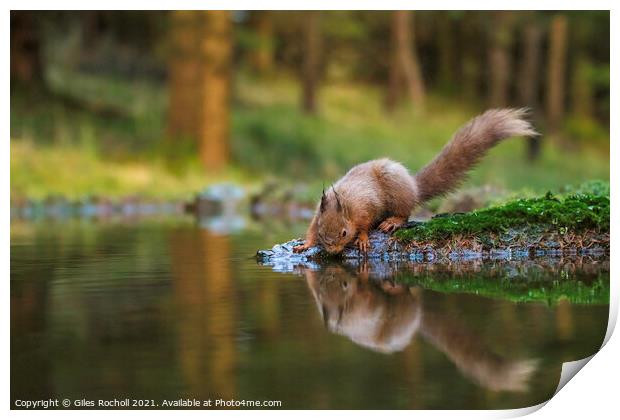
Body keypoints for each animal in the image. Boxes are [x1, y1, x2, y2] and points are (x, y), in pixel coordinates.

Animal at [294, 106, 536, 254]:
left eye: (344, 233)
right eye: (322, 233)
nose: (333, 251)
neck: (345, 205)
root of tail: (413, 187)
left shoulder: (366, 208)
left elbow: (365, 225)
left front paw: (362, 238)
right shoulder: (317, 215)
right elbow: (310, 230)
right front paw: (305, 244)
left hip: (397, 192)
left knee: (405, 212)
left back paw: (393, 221)